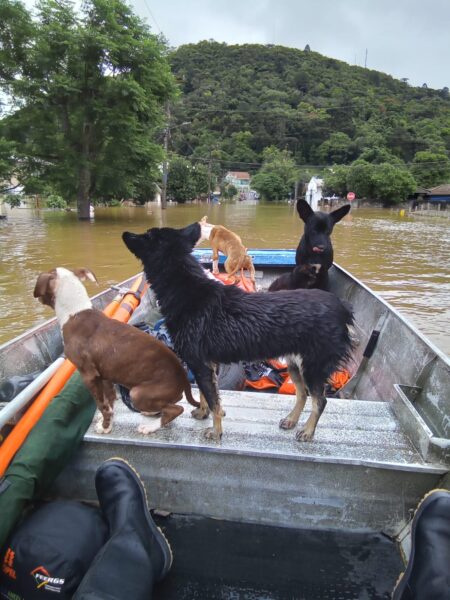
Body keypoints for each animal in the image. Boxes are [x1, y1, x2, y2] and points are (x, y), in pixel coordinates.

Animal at [33, 270, 199, 434]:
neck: (75, 312)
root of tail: (184, 379)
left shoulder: (89, 376)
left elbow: (102, 405)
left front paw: (105, 426)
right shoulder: (104, 374)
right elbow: (110, 399)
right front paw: (108, 423)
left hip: (137, 393)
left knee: (176, 409)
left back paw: (150, 427)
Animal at [123, 223, 356, 442]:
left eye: (146, 235)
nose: (125, 233)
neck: (186, 290)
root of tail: (342, 309)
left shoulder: (200, 363)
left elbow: (214, 402)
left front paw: (216, 431)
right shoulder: (208, 364)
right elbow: (209, 395)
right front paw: (203, 413)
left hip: (313, 367)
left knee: (320, 401)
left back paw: (307, 431)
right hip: (295, 364)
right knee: (302, 394)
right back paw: (291, 420)